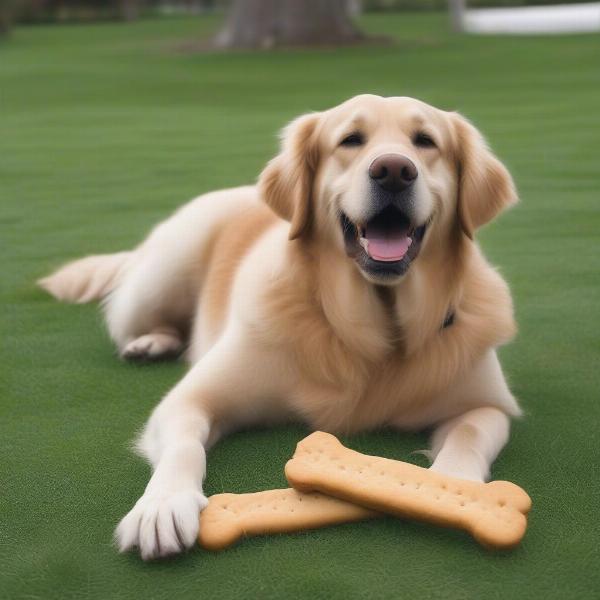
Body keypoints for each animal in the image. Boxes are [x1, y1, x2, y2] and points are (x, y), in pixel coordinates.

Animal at [41, 94, 520, 556]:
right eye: (350, 140)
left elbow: (469, 434)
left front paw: (457, 492)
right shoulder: (190, 400)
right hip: (160, 277)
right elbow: (185, 447)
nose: (394, 171)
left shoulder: (487, 406)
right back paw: (151, 342)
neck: (372, 330)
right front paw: (162, 506)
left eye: (425, 141)